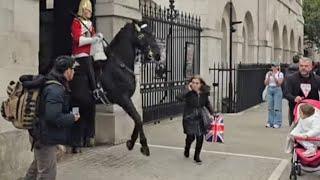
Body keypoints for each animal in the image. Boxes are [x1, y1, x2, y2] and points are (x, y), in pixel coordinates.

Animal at [98, 21, 162, 156]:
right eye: (143, 35)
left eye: (153, 33)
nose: (158, 55)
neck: (119, 64)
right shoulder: (122, 98)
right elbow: (137, 118)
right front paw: (143, 145)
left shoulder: (126, 99)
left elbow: (138, 118)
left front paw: (131, 142)